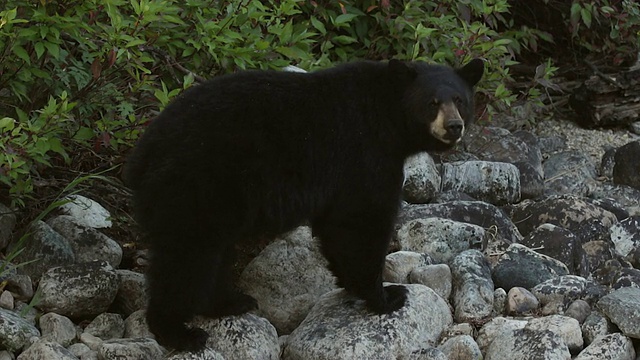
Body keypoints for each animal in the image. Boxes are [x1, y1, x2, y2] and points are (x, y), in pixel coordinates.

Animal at [124, 59, 484, 352]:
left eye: (460, 100)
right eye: (431, 102)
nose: (454, 126)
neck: (386, 117)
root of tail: (141, 156)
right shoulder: (364, 154)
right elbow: (361, 223)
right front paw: (387, 296)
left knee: (212, 255)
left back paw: (231, 302)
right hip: (196, 187)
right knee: (187, 259)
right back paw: (178, 331)